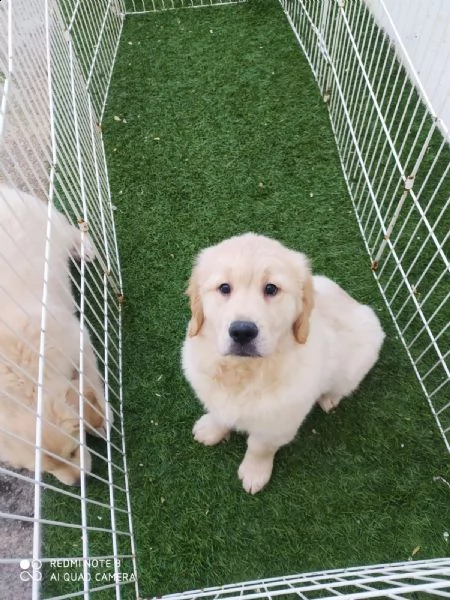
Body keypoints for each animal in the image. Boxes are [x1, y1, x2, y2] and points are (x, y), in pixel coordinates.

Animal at [0, 184, 111, 488]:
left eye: (73, 450)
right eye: (46, 473)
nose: (79, 482)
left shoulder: (79, 341)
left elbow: (90, 382)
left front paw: (103, 421)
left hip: (51, 225)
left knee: (73, 230)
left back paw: (85, 250)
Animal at [181, 233, 384, 492]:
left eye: (271, 288)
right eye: (224, 288)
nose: (242, 332)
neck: (245, 370)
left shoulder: (277, 424)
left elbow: (260, 448)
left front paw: (254, 473)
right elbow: (220, 413)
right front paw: (211, 429)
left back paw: (329, 398)